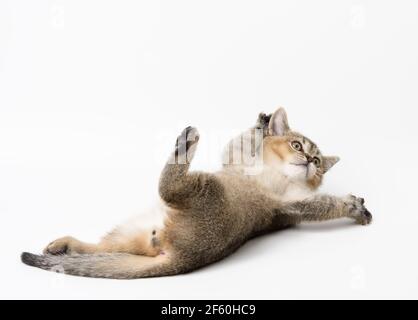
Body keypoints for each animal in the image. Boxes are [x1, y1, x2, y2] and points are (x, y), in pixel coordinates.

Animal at [20, 107, 372, 278]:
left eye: (318, 160)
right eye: (297, 146)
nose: (310, 162)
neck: (279, 176)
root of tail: (185, 259)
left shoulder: (288, 205)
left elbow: (324, 204)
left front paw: (353, 206)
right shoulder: (241, 164)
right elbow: (241, 141)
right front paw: (262, 124)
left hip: (204, 187)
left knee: (168, 187)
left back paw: (184, 146)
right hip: (130, 234)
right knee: (98, 249)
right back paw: (64, 247)